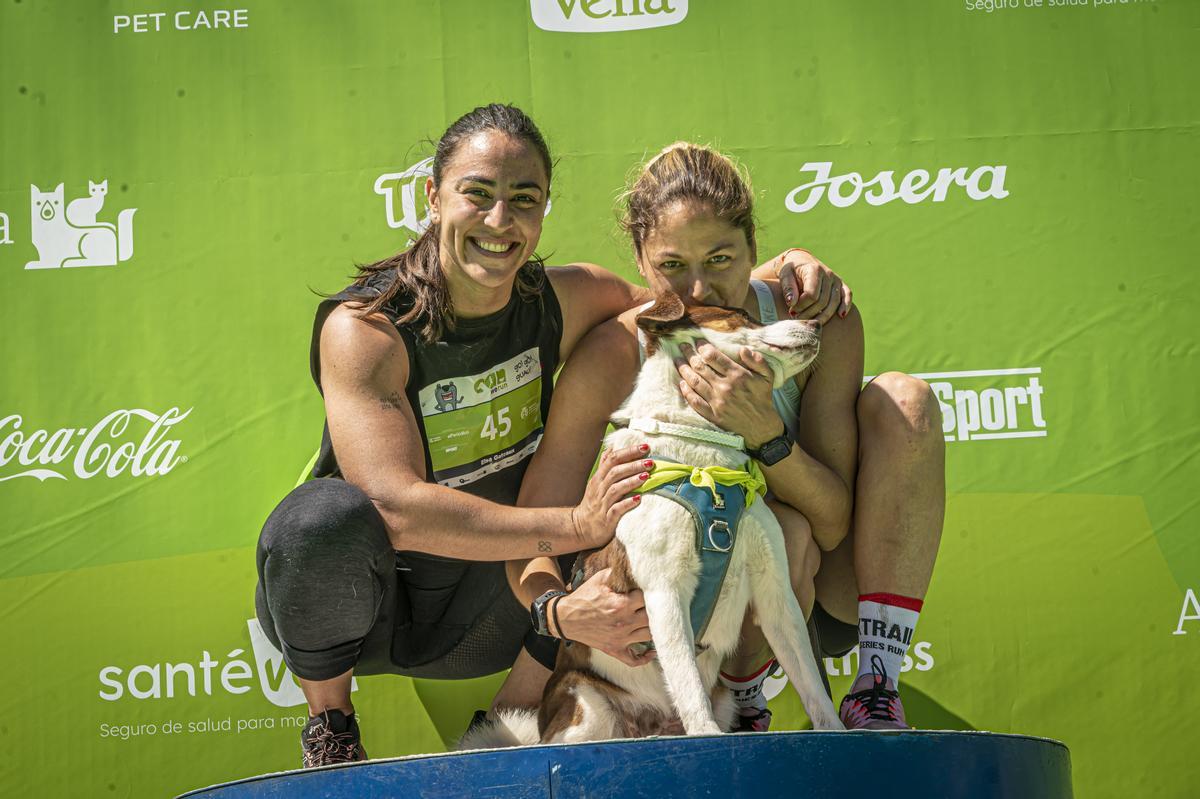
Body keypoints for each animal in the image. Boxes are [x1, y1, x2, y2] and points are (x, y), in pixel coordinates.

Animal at [458, 292, 844, 748]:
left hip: (724, 700)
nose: (817, 324)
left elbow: (810, 680)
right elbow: (686, 680)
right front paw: (706, 736)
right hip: (586, 706)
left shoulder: (775, 592)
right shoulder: (664, 591)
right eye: (741, 316)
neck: (704, 463)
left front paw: (839, 733)